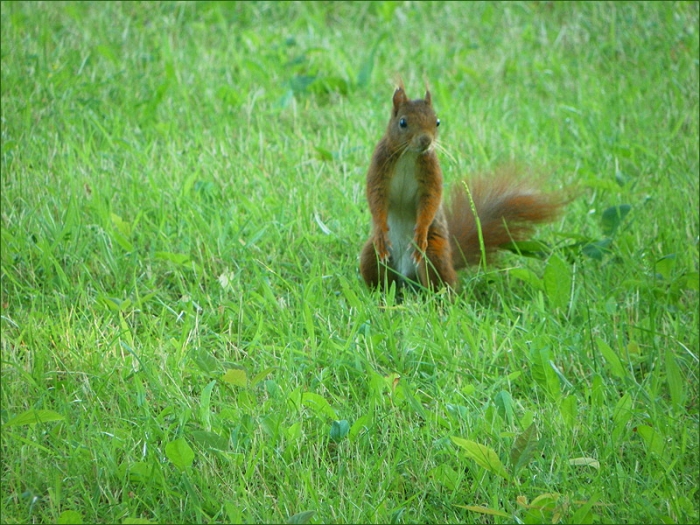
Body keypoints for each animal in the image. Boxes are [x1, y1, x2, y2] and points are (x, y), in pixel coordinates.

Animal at [359, 84, 565, 292]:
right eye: (403, 122)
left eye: (437, 122)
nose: (426, 140)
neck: (409, 155)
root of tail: (407, 277)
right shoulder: (379, 168)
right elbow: (375, 198)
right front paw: (380, 229)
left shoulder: (431, 173)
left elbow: (431, 200)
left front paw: (421, 232)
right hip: (370, 257)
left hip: (434, 255)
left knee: (442, 284)